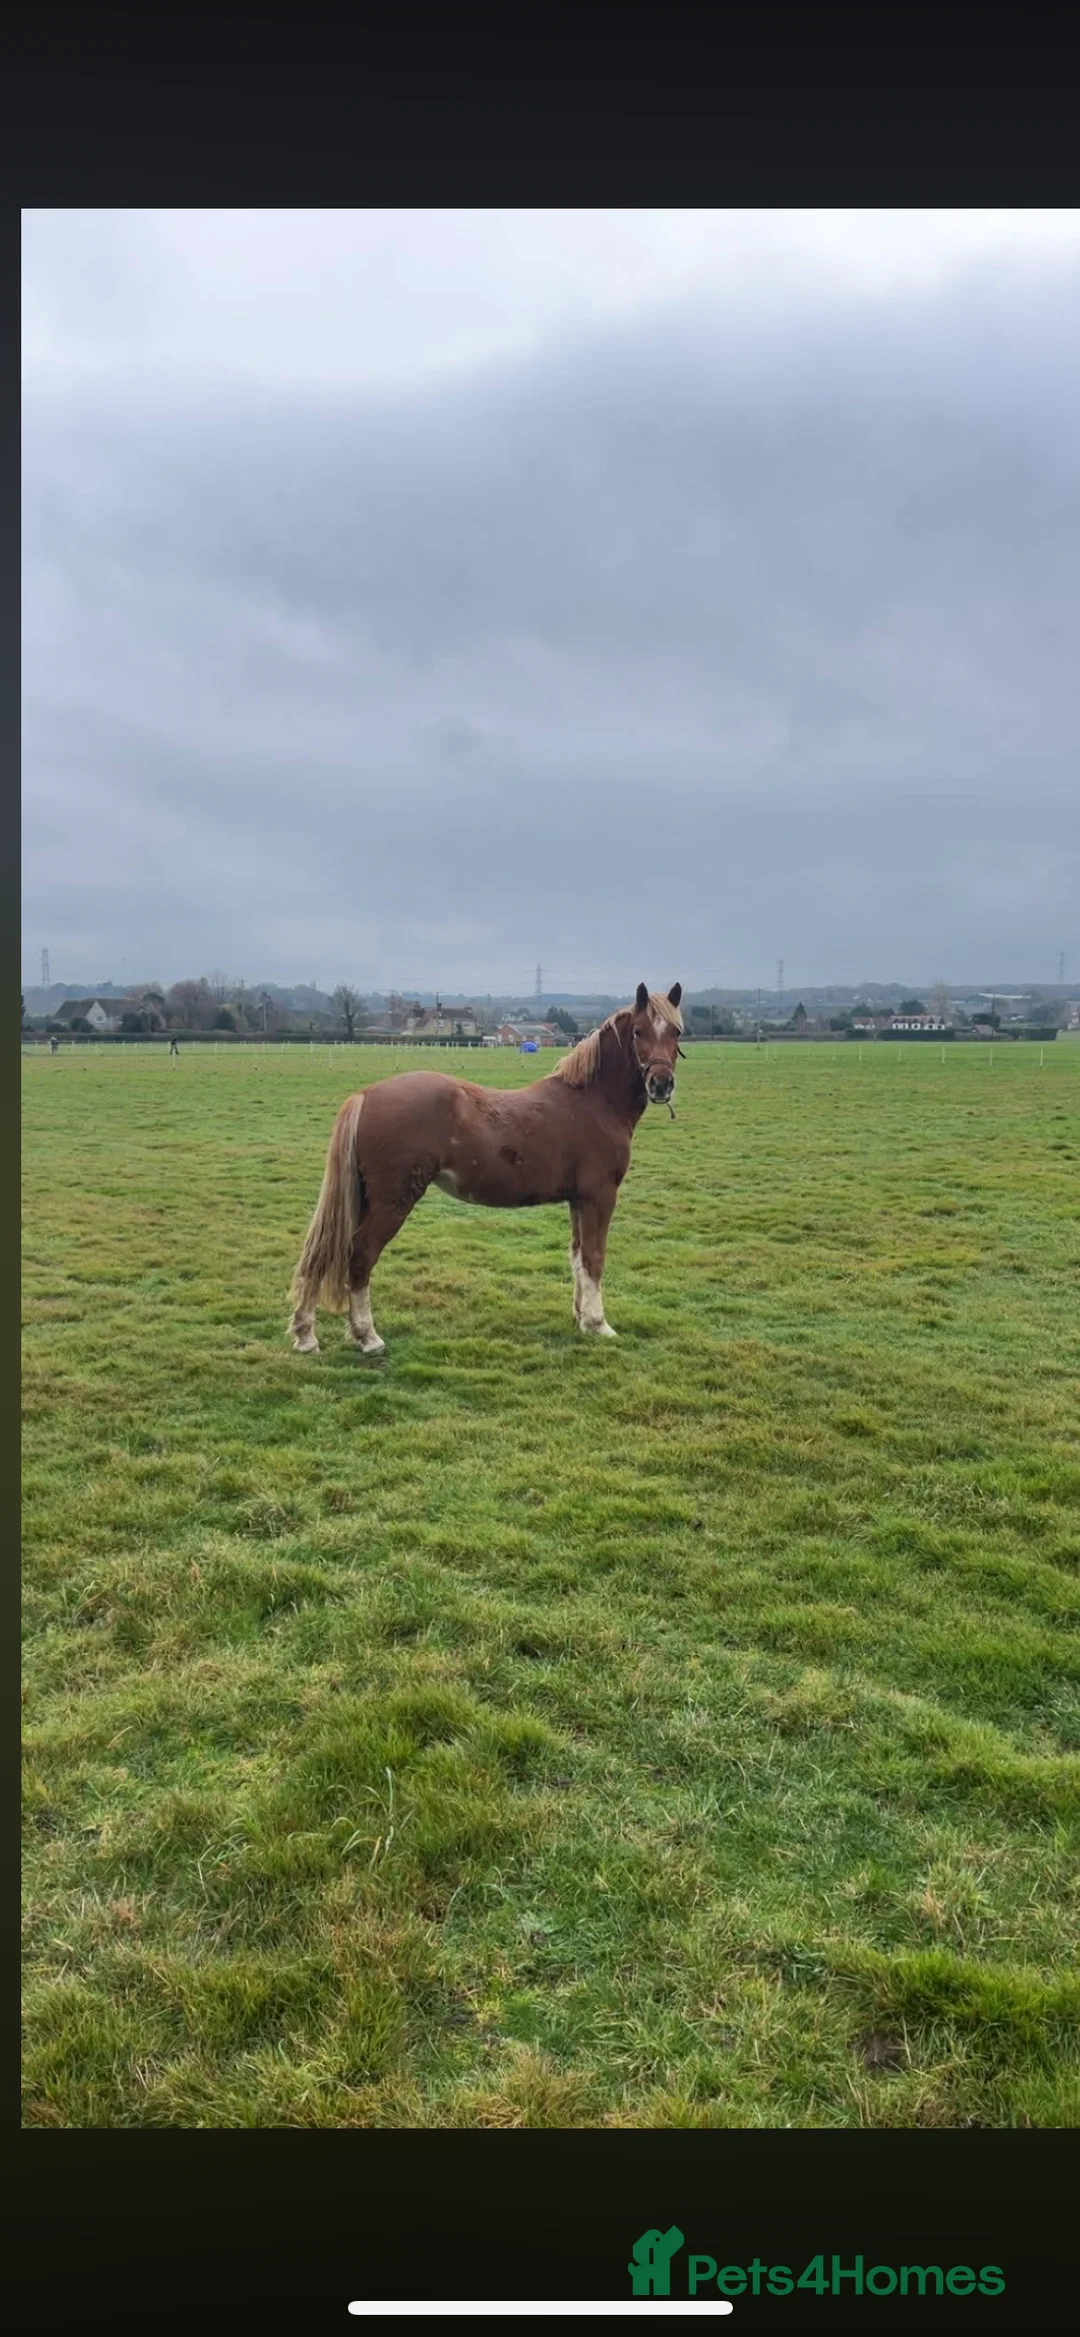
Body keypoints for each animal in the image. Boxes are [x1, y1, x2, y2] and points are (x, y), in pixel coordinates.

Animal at [287, 981, 683, 1354]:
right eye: (638, 1032)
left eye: (676, 1032)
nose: (661, 1084)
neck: (591, 1101)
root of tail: (365, 1095)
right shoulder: (600, 1196)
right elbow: (594, 1257)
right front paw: (599, 1324)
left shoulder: (578, 1201)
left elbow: (577, 1256)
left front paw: (581, 1317)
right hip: (391, 1202)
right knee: (360, 1255)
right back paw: (367, 1336)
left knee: (323, 1252)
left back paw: (306, 1334)